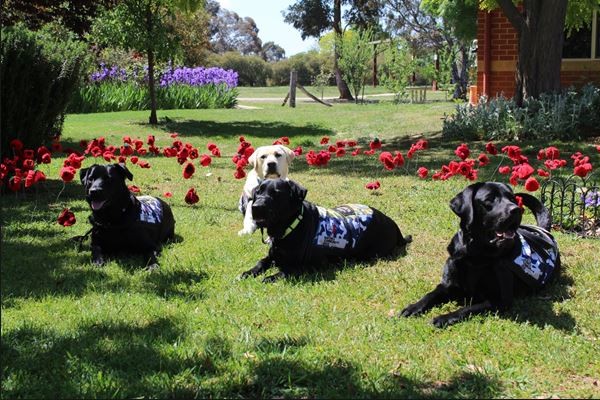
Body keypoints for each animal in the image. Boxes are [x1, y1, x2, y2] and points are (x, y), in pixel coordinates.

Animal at [239, 178, 412, 282]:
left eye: (276, 193)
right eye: (258, 192)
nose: (256, 207)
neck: (290, 226)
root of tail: (391, 222)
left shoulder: (309, 265)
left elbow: (287, 270)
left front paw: (270, 277)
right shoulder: (273, 255)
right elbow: (261, 262)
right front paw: (248, 272)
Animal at [400, 181, 560, 328]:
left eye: (512, 199)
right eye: (489, 199)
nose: (516, 210)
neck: (476, 254)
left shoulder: (499, 300)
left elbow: (467, 308)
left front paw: (444, 317)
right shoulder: (448, 284)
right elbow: (431, 294)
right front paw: (414, 307)